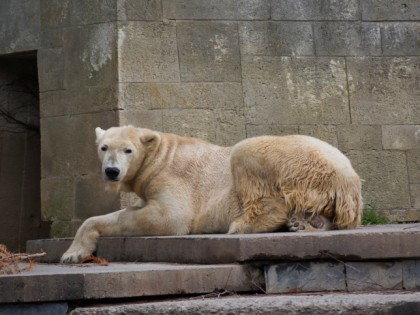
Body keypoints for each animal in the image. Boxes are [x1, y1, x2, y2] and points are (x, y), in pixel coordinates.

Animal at [60, 126, 362, 264]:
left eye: (128, 150)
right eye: (103, 147)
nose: (112, 171)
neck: (160, 155)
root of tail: (349, 178)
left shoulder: (172, 179)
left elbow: (169, 217)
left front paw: (70, 254)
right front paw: (73, 253)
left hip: (298, 160)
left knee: (246, 153)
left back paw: (243, 224)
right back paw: (307, 223)